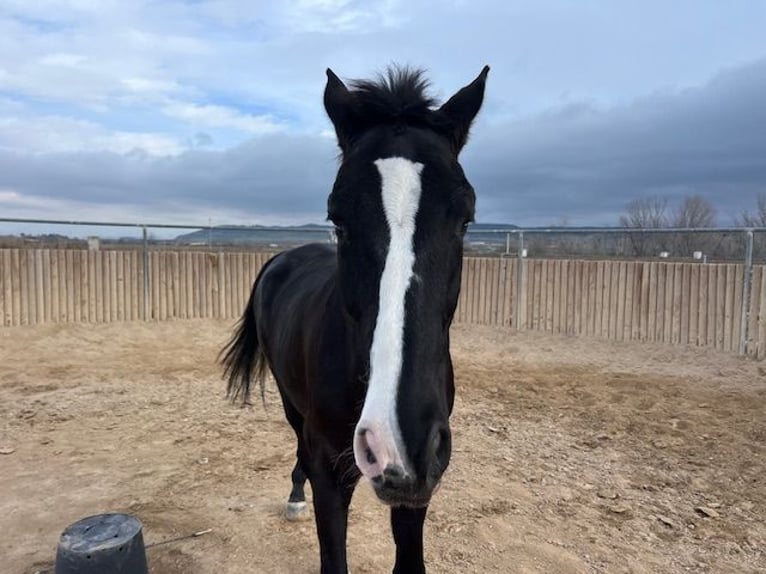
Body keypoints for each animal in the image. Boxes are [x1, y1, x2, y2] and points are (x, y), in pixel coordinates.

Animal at [220, 65, 492, 572]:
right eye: (337, 217)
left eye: (465, 217)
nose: (398, 442)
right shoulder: (331, 472)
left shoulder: (418, 490)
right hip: (290, 402)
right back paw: (295, 495)